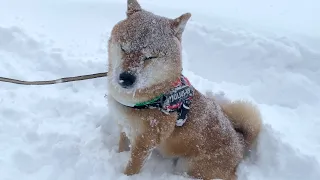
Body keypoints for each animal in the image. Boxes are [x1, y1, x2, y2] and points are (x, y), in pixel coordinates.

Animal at [107, 0, 262, 179]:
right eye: (124, 48)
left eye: (150, 57)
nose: (126, 78)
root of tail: (240, 144)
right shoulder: (124, 127)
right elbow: (122, 147)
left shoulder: (144, 143)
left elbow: (131, 169)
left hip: (188, 166)